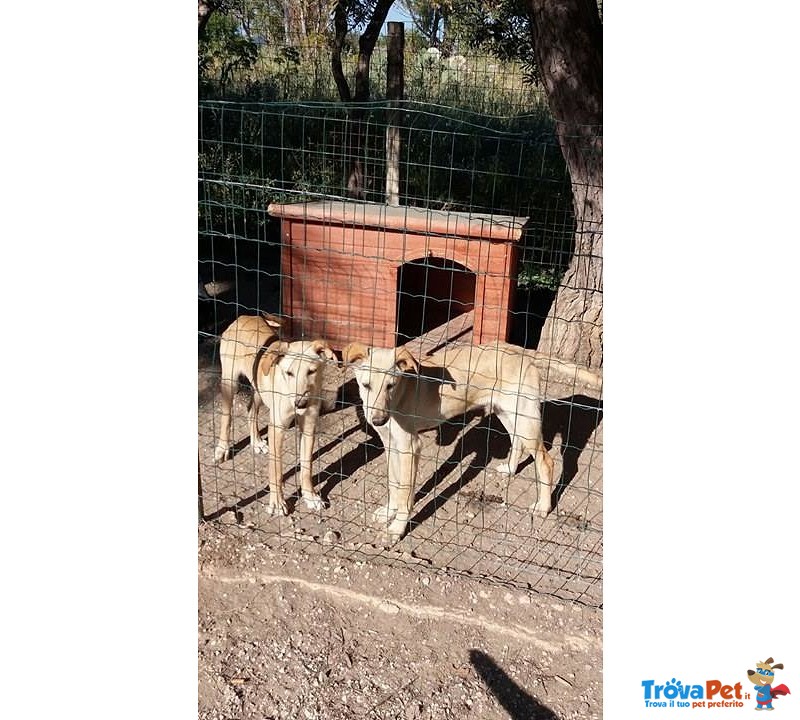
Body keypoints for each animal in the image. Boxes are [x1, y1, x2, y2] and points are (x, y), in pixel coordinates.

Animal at [214, 316, 336, 516]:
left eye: (312, 371)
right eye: (289, 373)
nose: (300, 404)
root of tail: (243, 317)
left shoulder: (309, 426)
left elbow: (306, 466)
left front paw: (310, 496)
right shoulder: (276, 428)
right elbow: (276, 469)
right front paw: (278, 502)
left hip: (259, 389)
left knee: (250, 410)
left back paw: (256, 442)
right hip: (229, 382)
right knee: (226, 417)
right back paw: (222, 448)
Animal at [342, 340, 600, 544]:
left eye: (390, 386)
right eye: (366, 385)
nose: (378, 420)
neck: (401, 395)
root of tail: (519, 350)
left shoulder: (410, 446)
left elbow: (405, 491)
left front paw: (397, 528)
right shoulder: (391, 445)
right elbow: (394, 484)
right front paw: (389, 512)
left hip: (525, 419)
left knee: (546, 461)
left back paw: (543, 507)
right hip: (507, 412)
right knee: (516, 441)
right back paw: (510, 469)